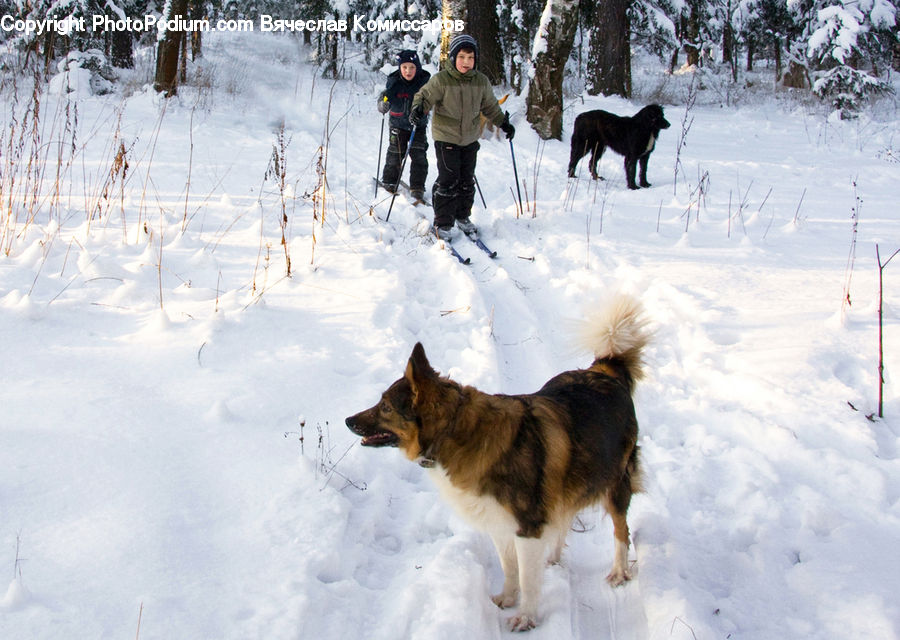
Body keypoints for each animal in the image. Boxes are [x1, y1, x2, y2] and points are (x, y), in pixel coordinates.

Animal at [342, 294, 648, 632]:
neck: (454, 430)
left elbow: (528, 579)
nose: (347, 421)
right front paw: (507, 598)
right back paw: (553, 557)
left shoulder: (526, 526)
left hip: (615, 482)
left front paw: (526, 617)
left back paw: (619, 572)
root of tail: (606, 370)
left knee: (621, 531)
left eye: (385, 407)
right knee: (565, 519)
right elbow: (510, 568)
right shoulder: (499, 523)